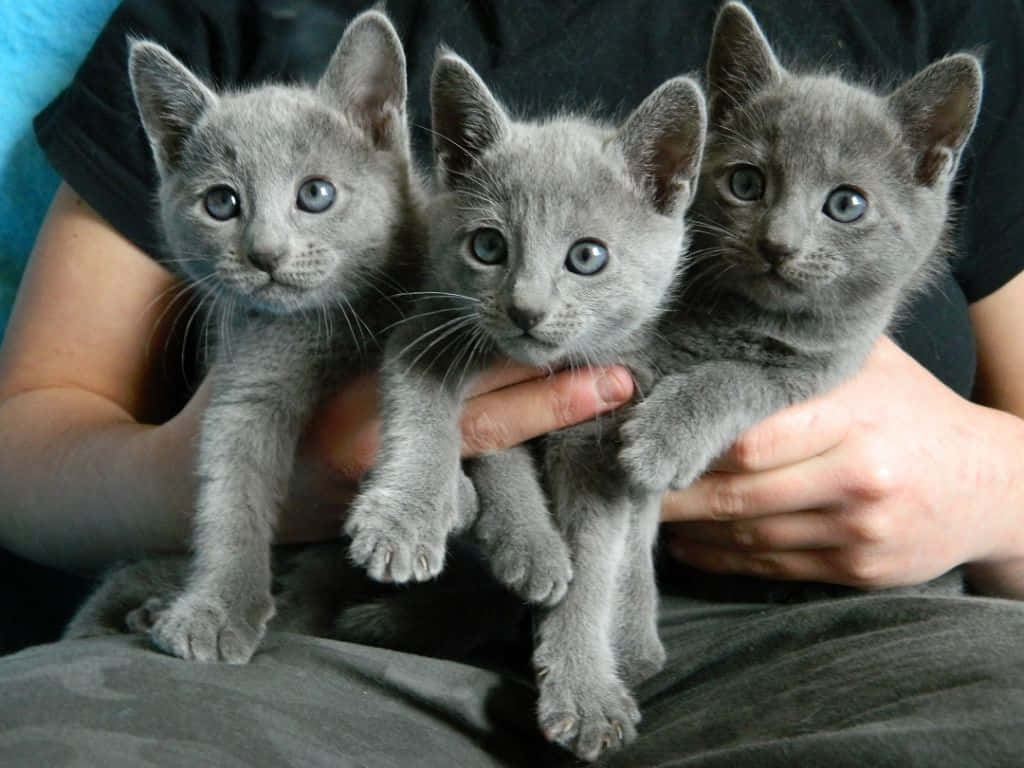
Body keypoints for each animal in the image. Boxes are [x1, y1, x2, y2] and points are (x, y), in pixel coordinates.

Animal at [115, 9, 423, 663]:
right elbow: (231, 493)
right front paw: (216, 608)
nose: (265, 254)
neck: (327, 322)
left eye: (315, 193)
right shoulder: (245, 382)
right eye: (221, 202)